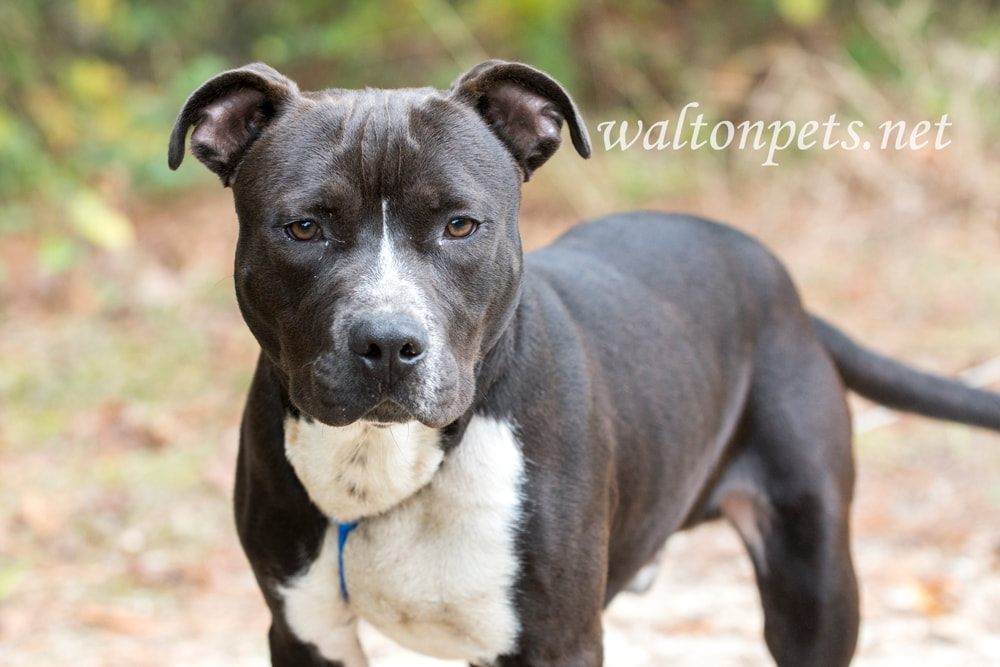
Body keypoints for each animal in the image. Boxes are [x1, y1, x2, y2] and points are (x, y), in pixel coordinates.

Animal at [168, 60, 1000, 664]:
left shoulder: (555, 639)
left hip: (813, 577)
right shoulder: (304, 631)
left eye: (460, 224)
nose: (387, 344)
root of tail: (782, 285)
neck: (388, 458)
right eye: (304, 227)